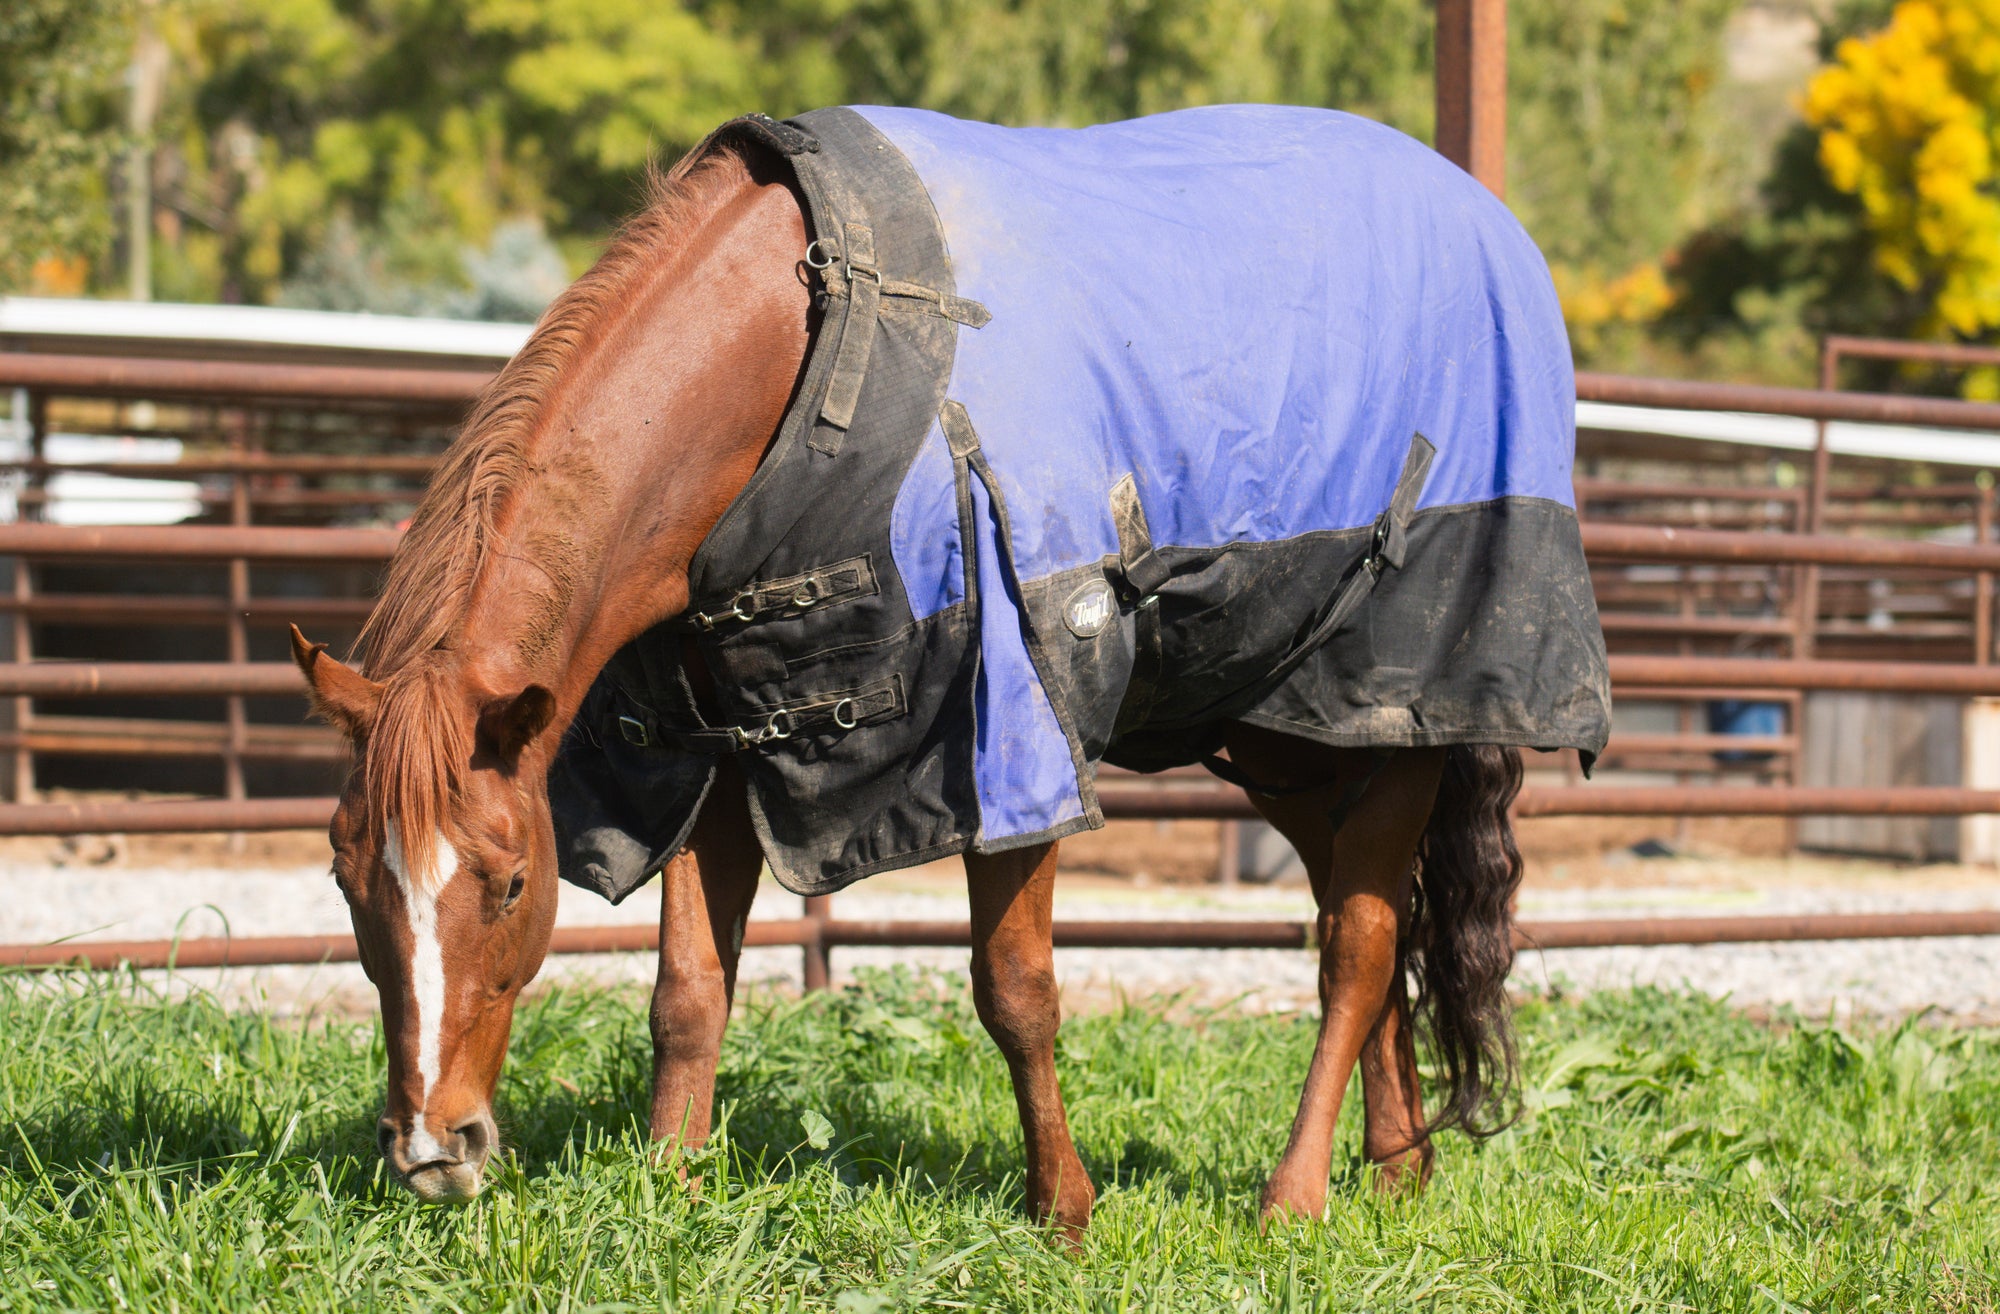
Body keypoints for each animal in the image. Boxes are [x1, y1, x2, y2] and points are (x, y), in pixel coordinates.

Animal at [290, 105, 1608, 1235]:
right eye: (349, 881)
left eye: (510, 883)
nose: (432, 1149)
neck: (807, 345)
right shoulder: (719, 743)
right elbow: (687, 992)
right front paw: (671, 1189)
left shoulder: (1013, 732)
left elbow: (1014, 990)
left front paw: (1061, 1213)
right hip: (1289, 731)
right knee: (1360, 907)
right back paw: (1393, 1168)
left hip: (1402, 706)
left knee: (1357, 947)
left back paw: (1295, 1198)